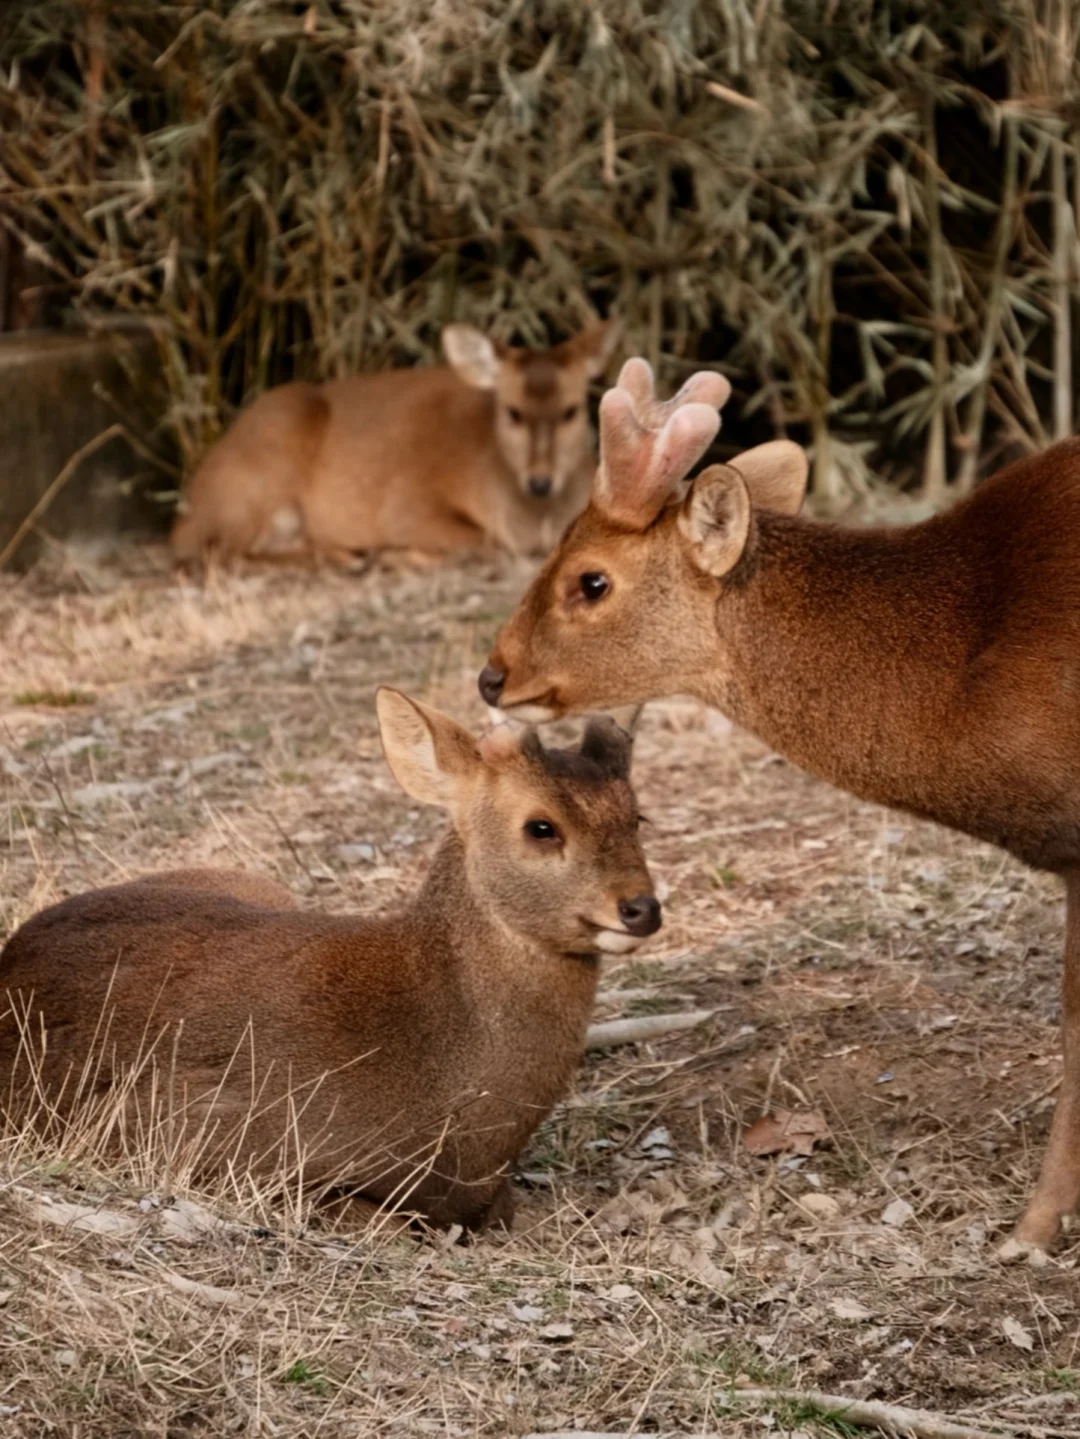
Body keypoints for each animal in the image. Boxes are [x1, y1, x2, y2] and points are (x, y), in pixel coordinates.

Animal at [169, 321, 619, 566]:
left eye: (571, 410)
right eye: (512, 411)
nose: (540, 482)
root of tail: (189, 506)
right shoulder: (405, 506)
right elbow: (485, 541)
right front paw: (399, 556)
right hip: (261, 475)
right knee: (222, 554)